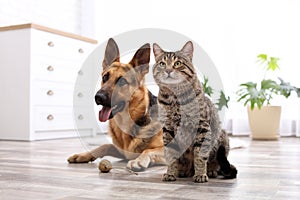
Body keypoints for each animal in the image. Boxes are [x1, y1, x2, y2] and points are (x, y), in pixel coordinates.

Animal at [68, 38, 165, 170]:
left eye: (122, 81)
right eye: (105, 77)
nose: (98, 97)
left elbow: (148, 150)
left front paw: (138, 160)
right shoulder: (122, 151)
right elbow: (104, 146)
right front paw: (83, 155)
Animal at [152, 41, 237, 182]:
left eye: (177, 63)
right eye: (162, 64)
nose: (168, 70)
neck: (175, 98)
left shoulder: (202, 126)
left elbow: (200, 156)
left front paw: (201, 174)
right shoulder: (168, 129)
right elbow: (171, 154)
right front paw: (170, 173)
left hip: (222, 136)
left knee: (216, 162)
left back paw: (210, 170)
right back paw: (182, 171)